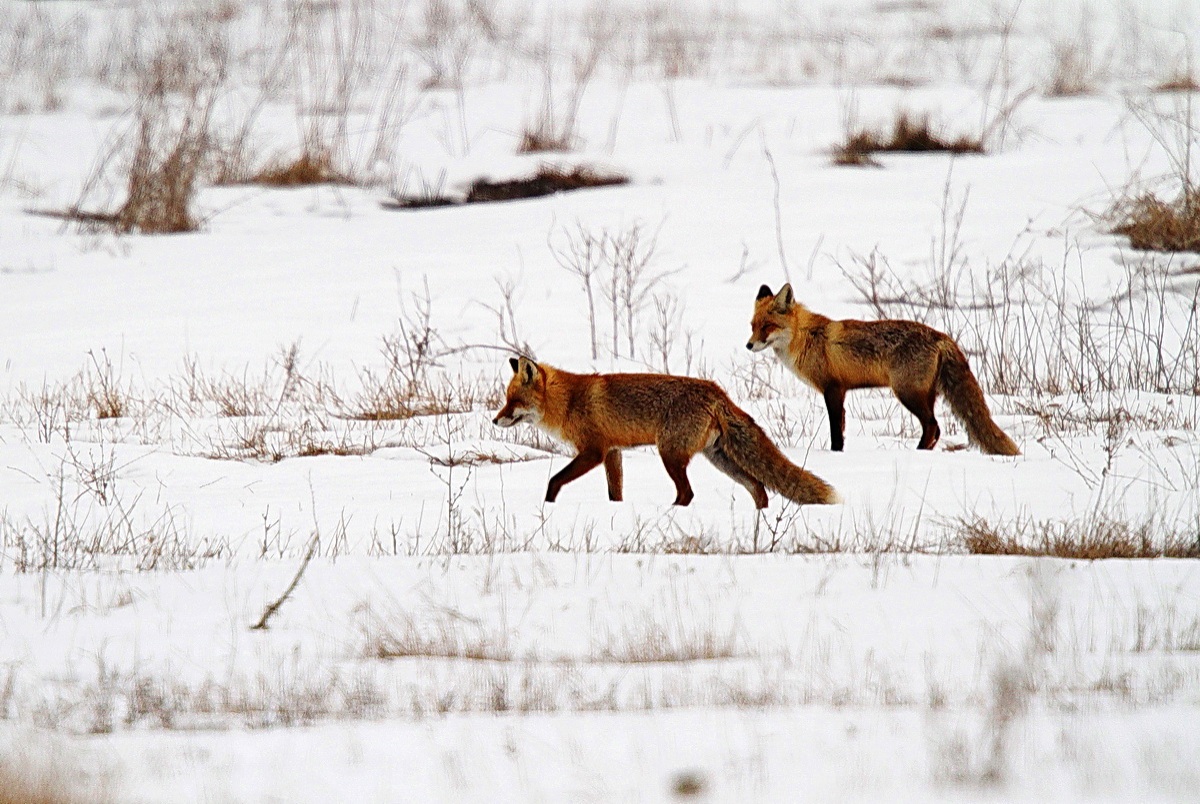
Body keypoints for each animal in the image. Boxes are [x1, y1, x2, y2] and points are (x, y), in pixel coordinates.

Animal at [492, 356, 839, 508]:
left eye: (514, 401)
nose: (495, 421)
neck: (570, 402)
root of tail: (717, 391)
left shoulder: (593, 451)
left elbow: (554, 480)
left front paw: (547, 507)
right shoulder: (613, 453)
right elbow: (615, 492)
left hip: (670, 454)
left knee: (688, 493)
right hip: (719, 458)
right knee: (758, 487)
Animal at [746, 283, 1019, 456]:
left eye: (767, 326)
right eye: (752, 325)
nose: (748, 345)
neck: (808, 338)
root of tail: (940, 335)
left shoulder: (833, 389)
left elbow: (836, 433)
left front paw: (835, 455)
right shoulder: (840, 391)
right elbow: (841, 429)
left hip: (908, 393)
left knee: (932, 426)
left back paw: (918, 453)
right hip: (925, 395)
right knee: (937, 428)